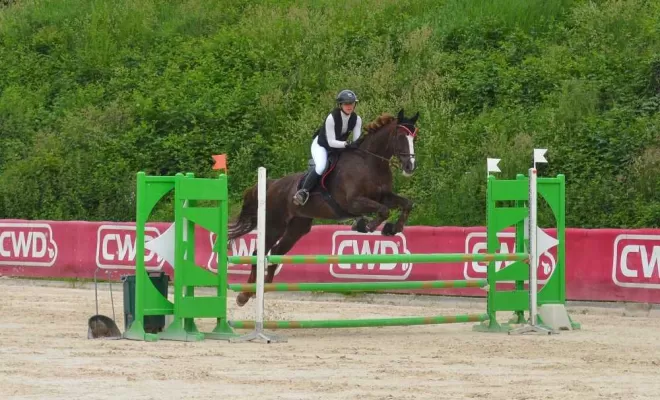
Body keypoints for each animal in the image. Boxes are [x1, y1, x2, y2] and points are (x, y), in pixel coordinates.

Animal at [229, 109, 420, 306]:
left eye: (415, 136)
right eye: (401, 136)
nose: (410, 166)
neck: (371, 163)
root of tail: (272, 184)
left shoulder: (385, 197)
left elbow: (406, 204)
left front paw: (393, 228)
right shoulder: (353, 202)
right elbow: (383, 210)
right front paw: (365, 226)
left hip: (298, 227)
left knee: (276, 251)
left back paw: (263, 287)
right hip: (274, 225)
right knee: (258, 252)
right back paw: (244, 295)